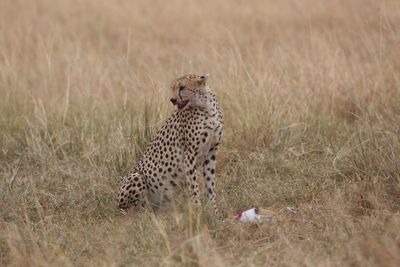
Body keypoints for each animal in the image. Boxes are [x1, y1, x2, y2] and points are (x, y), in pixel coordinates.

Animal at [117, 74, 223, 216]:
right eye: (172, 88)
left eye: (182, 87)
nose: (172, 99)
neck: (205, 107)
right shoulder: (189, 156)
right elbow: (194, 187)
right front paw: (198, 211)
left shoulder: (211, 152)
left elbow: (210, 185)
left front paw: (214, 212)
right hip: (137, 177)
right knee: (130, 210)